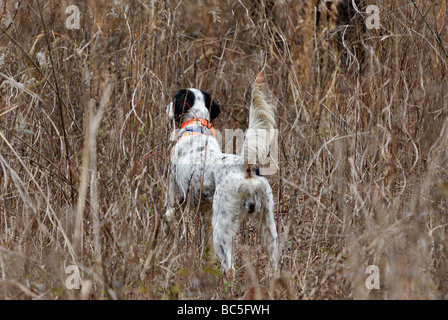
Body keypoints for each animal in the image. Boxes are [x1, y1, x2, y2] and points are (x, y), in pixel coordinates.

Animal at [164, 72, 276, 276]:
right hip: (268, 224)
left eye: (175, 98)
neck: (196, 127)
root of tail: (245, 166)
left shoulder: (173, 197)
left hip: (223, 225)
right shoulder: (206, 212)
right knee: (274, 263)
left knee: (229, 268)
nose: (166, 107)